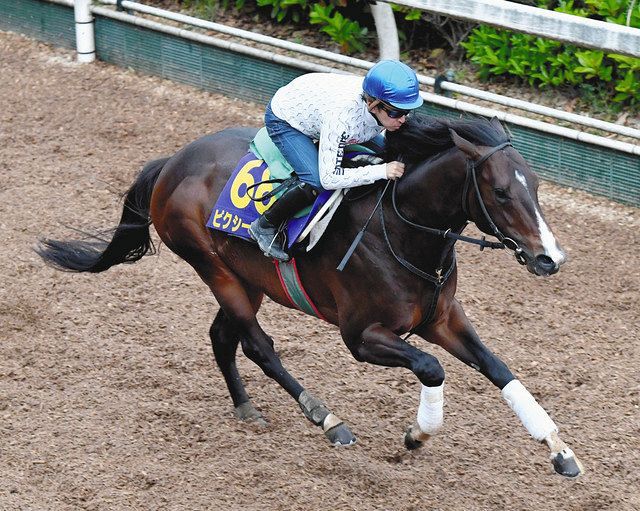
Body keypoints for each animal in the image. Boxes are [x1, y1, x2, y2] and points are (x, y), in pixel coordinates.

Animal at [36, 114, 583, 478]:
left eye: (535, 185)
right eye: (500, 192)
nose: (549, 258)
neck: (401, 228)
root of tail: (172, 161)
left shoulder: (442, 318)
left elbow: (499, 368)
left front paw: (559, 449)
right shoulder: (361, 336)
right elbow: (432, 368)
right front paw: (417, 434)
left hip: (247, 280)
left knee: (222, 337)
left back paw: (246, 408)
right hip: (214, 269)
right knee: (258, 346)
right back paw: (327, 418)